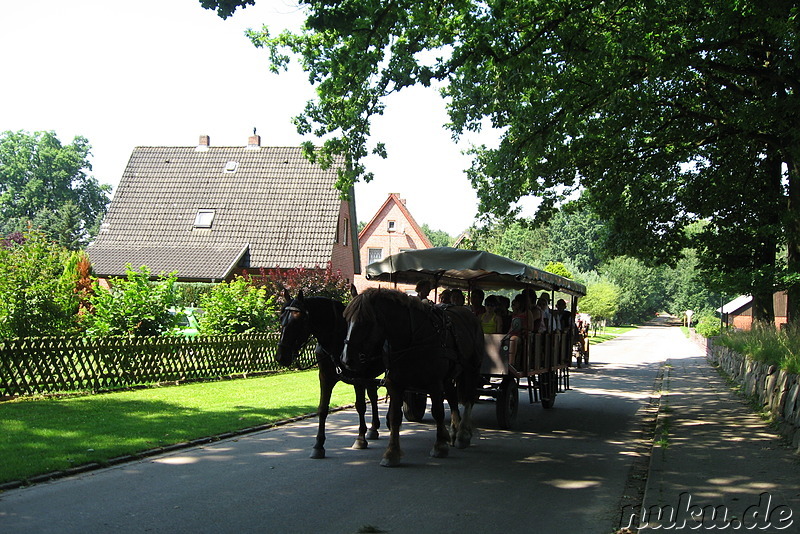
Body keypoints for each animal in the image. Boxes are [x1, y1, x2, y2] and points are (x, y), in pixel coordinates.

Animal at [278, 288, 384, 460]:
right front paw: (318, 445)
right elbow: (322, 409)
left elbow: (360, 406)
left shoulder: (358, 378)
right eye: (281, 318)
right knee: (373, 395)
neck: (338, 339)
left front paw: (360, 438)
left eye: (299, 320)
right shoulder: (325, 378)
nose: (281, 356)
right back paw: (374, 428)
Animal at [342, 288, 484, 468]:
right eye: (346, 319)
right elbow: (395, 417)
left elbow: (438, 412)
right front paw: (392, 453)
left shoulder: (434, 383)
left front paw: (440, 446)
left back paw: (462, 434)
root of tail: (469, 313)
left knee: (469, 398)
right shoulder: (395, 384)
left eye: (366, 322)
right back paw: (454, 430)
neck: (411, 338)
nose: (347, 359)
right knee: (453, 399)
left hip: (472, 368)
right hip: (450, 376)